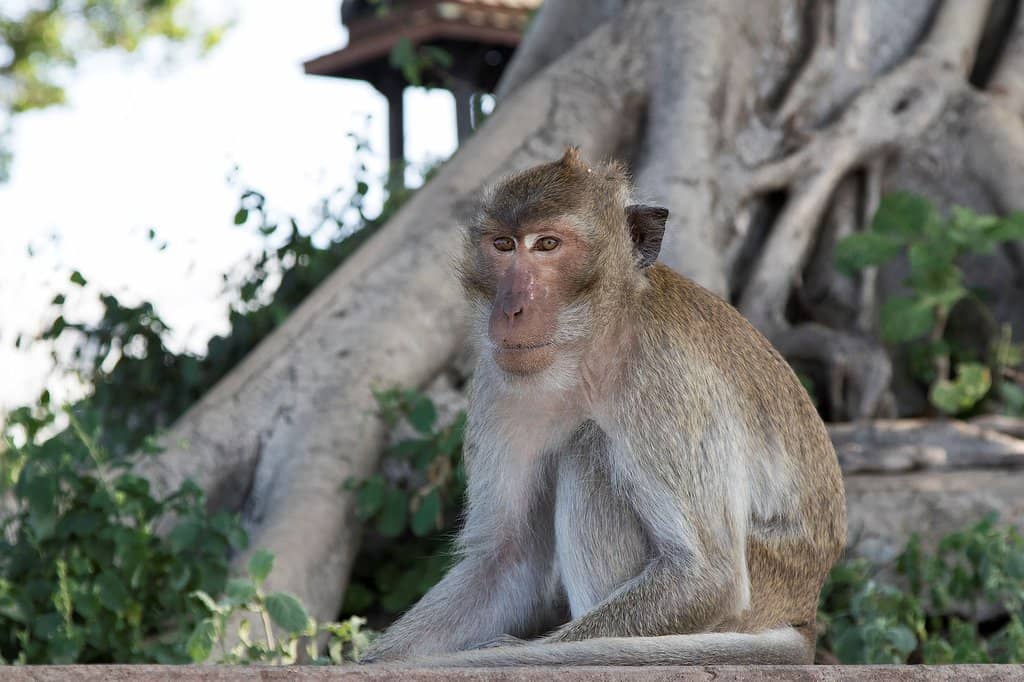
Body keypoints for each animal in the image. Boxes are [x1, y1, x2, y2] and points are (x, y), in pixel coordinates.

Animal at [361, 148, 846, 667]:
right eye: (503, 245)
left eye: (547, 244)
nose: (510, 308)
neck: (591, 347)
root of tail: (805, 611)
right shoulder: (496, 383)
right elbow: (509, 559)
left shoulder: (664, 376)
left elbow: (708, 578)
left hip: (765, 585)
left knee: (589, 449)